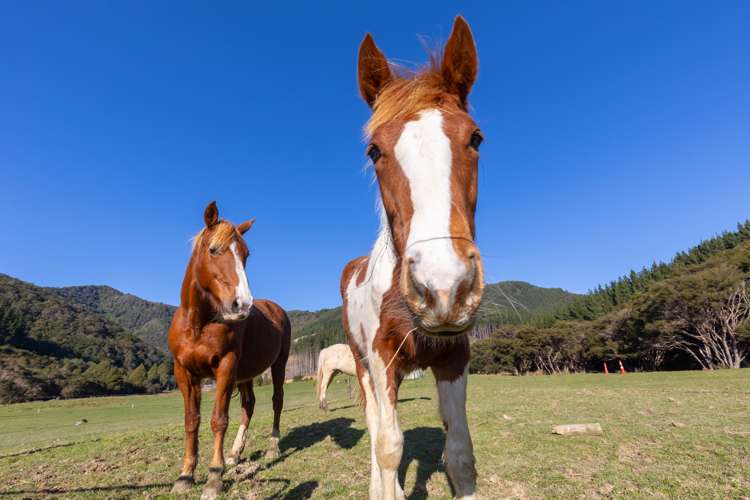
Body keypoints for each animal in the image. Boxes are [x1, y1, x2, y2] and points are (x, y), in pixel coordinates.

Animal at [342, 16, 488, 500]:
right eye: (374, 151)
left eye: (475, 137)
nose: (443, 287)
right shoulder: (382, 358)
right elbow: (389, 446)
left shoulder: (453, 357)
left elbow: (460, 455)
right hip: (363, 366)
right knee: (375, 428)